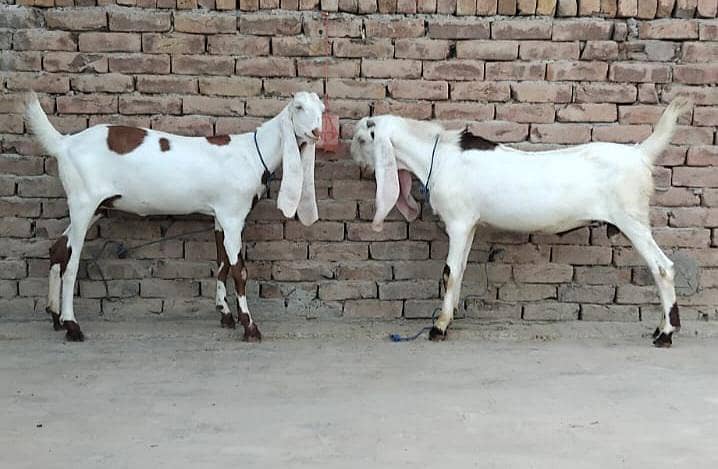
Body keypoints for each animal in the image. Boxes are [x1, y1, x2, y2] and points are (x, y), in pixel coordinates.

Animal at [25, 91, 324, 342]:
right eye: (298, 107)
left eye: (322, 109)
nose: (317, 132)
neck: (252, 152)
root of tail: (64, 143)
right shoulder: (232, 215)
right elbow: (239, 270)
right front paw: (250, 327)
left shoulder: (220, 216)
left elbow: (221, 264)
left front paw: (225, 314)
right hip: (82, 201)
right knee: (72, 260)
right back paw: (72, 325)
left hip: (98, 206)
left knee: (58, 249)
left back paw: (55, 316)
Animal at [350, 98, 693, 347]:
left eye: (360, 139)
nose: (351, 156)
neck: (438, 155)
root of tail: (640, 154)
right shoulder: (470, 224)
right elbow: (460, 270)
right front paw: (452, 315)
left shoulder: (458, 221)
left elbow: (449, 272)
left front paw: (439, 327)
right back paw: (660, 329)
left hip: (631, 218)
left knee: (662, 267)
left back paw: (666, 333)